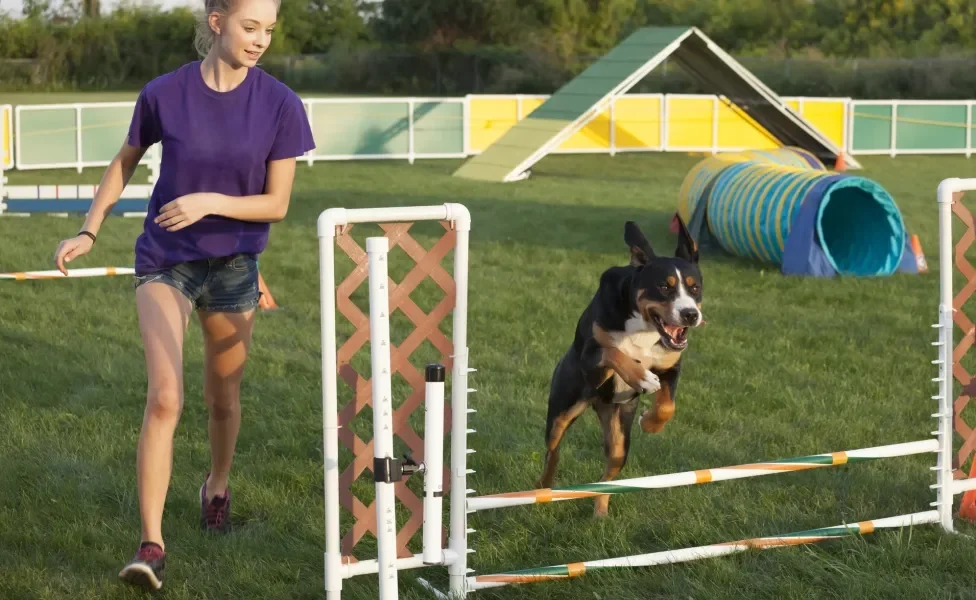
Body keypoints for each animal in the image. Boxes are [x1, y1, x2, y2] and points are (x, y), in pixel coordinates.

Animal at [536, 218, 704, 516]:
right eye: (664, 287)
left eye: (694, 288)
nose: (690, 314)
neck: (644, 326)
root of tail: (598, 404)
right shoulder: (591, 359)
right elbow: (613, 350)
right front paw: (641, 377)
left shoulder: (672, 367)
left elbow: (667, 406)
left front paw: (649, 424)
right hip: (562, 411)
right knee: (553, 452)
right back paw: (544, 489)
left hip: (619, 437)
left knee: (608, 476)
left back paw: (600, 513)